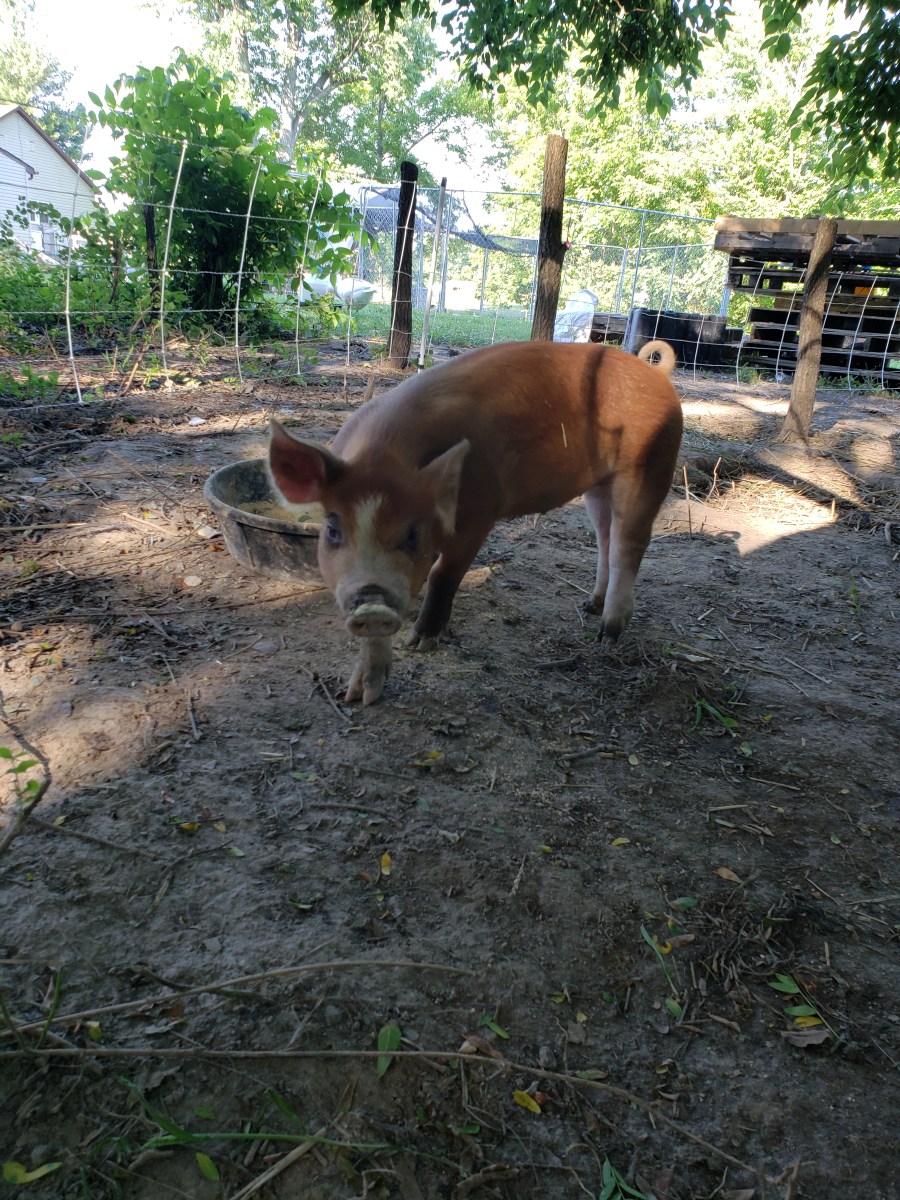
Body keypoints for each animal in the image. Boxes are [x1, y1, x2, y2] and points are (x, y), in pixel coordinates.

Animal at [268, 339, 682, 705]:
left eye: (413, 534)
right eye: (333, 530)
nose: (371, 604)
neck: (386, 451)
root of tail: (655, 373)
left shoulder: (481, 511)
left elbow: (442, 574)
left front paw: (420, 643)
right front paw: (359, 698)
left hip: (649, 467)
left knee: (629, 543)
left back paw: (607, 634)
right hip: (598, 485)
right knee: (604, 536)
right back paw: (588, 606)